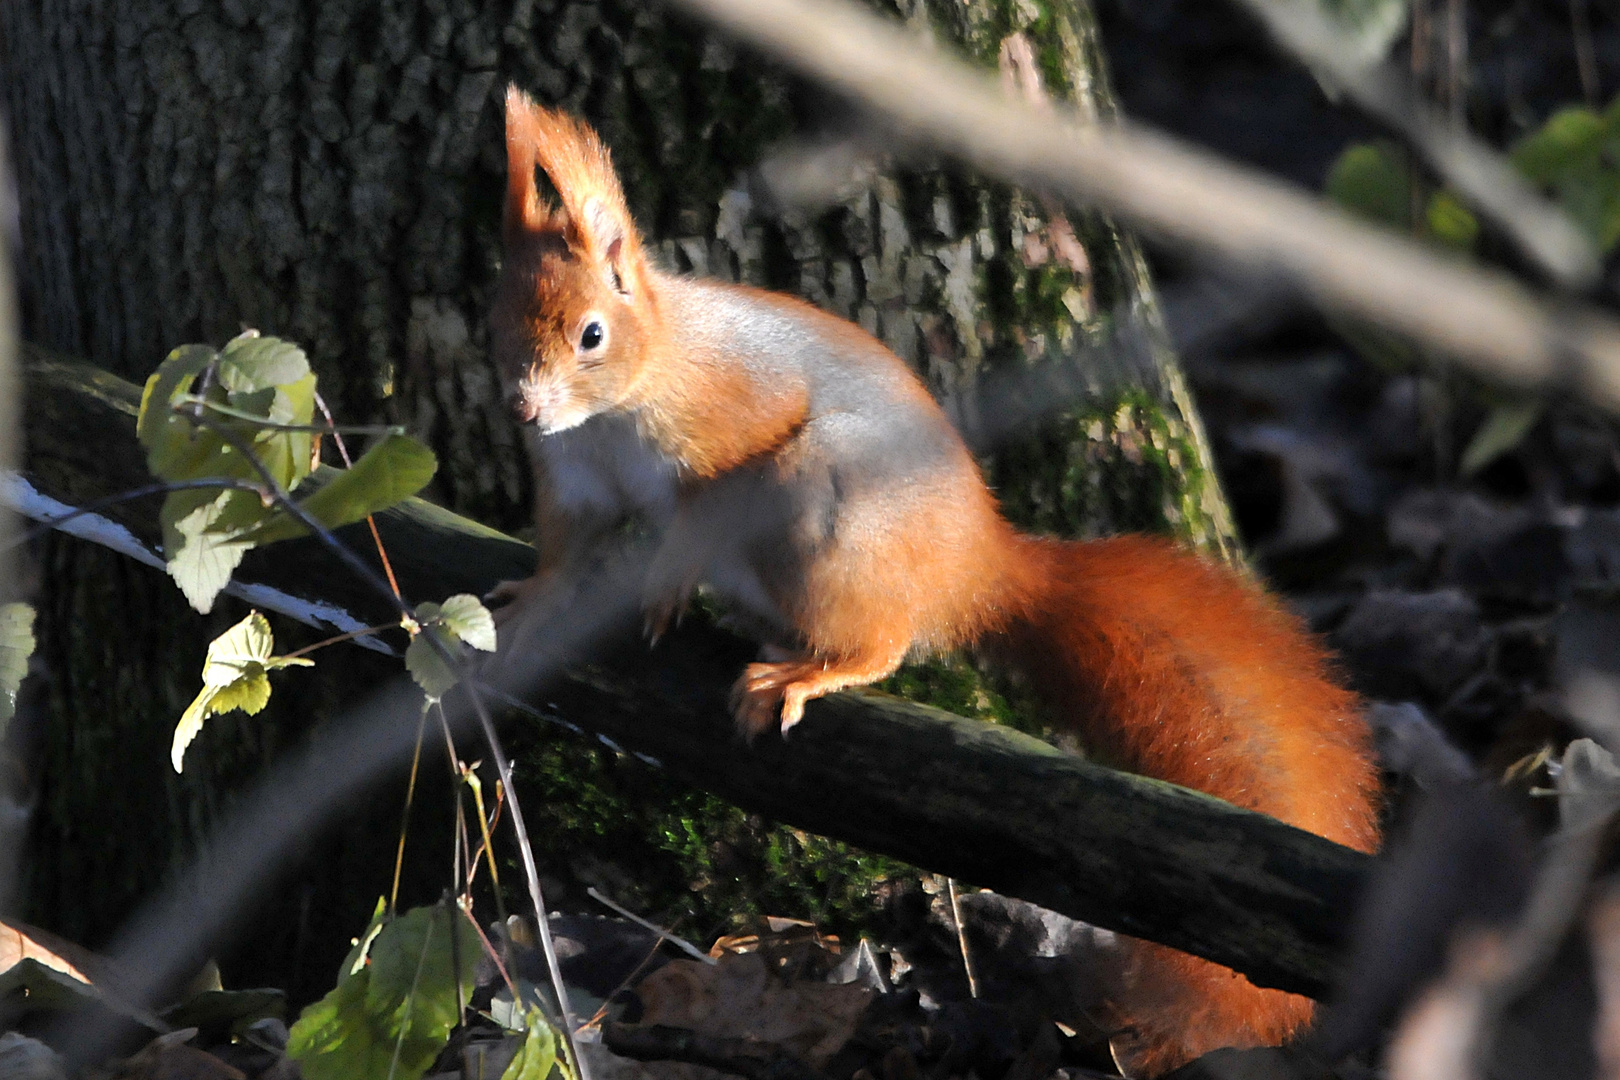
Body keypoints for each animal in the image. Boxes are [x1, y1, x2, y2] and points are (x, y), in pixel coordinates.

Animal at [492, 88, 1380, 1075]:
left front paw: (664, 587)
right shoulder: (574, 477)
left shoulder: (731, 428)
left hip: (826, 508)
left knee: (885, 644)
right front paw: (536, 601)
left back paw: (807, 670)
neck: (622, 403)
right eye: (495, 316)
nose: (521, 408)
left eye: (592, 334)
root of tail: (978, 569)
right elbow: (567, 547)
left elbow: (695, 519)